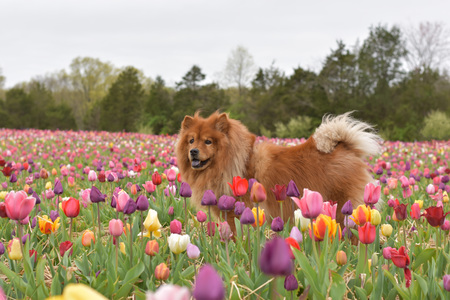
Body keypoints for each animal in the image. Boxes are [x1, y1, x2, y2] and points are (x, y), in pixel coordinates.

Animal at [176, 110, 380, 230]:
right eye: (191, 140)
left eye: (208, 141)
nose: (193, 151)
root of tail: (346, 148)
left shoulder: (239, 212)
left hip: (343, 208)